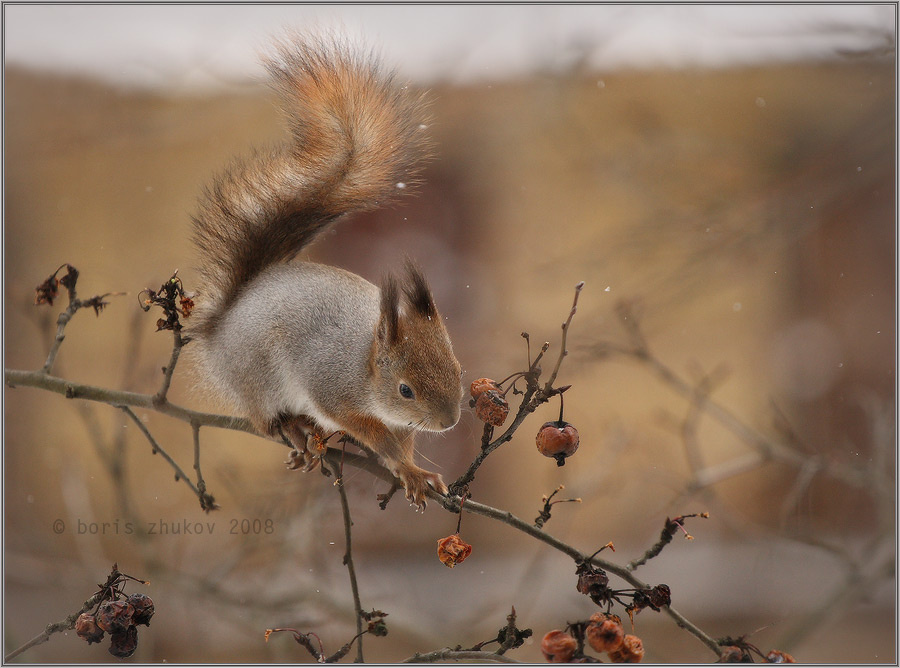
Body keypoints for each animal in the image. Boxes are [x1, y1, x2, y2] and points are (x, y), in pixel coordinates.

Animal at [189, 35, 463, 507]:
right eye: (405, 390)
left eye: (459, 369)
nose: (448, 422)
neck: (365, 364)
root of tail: (220, 326)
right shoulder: (332, 388)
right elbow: (372, 433)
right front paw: (404, 466)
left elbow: (402, 444)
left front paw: (413, 470)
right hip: (258, 377)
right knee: (265, 415)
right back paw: (294, 429)